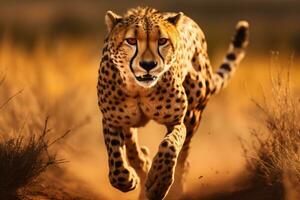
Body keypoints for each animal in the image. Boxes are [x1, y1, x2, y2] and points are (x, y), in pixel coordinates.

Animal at [96, 6, 248, 200]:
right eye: (131, 40)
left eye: (162, 41)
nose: (148, 65)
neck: (139, 89)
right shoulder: (112, 120)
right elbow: (116, 160)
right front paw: (130, 178)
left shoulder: (177, 122)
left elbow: (169, 146)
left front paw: (158, 184)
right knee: (133, 146)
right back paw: (143, 166)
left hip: (193, 115)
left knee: (184, 158)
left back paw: (176, 188)